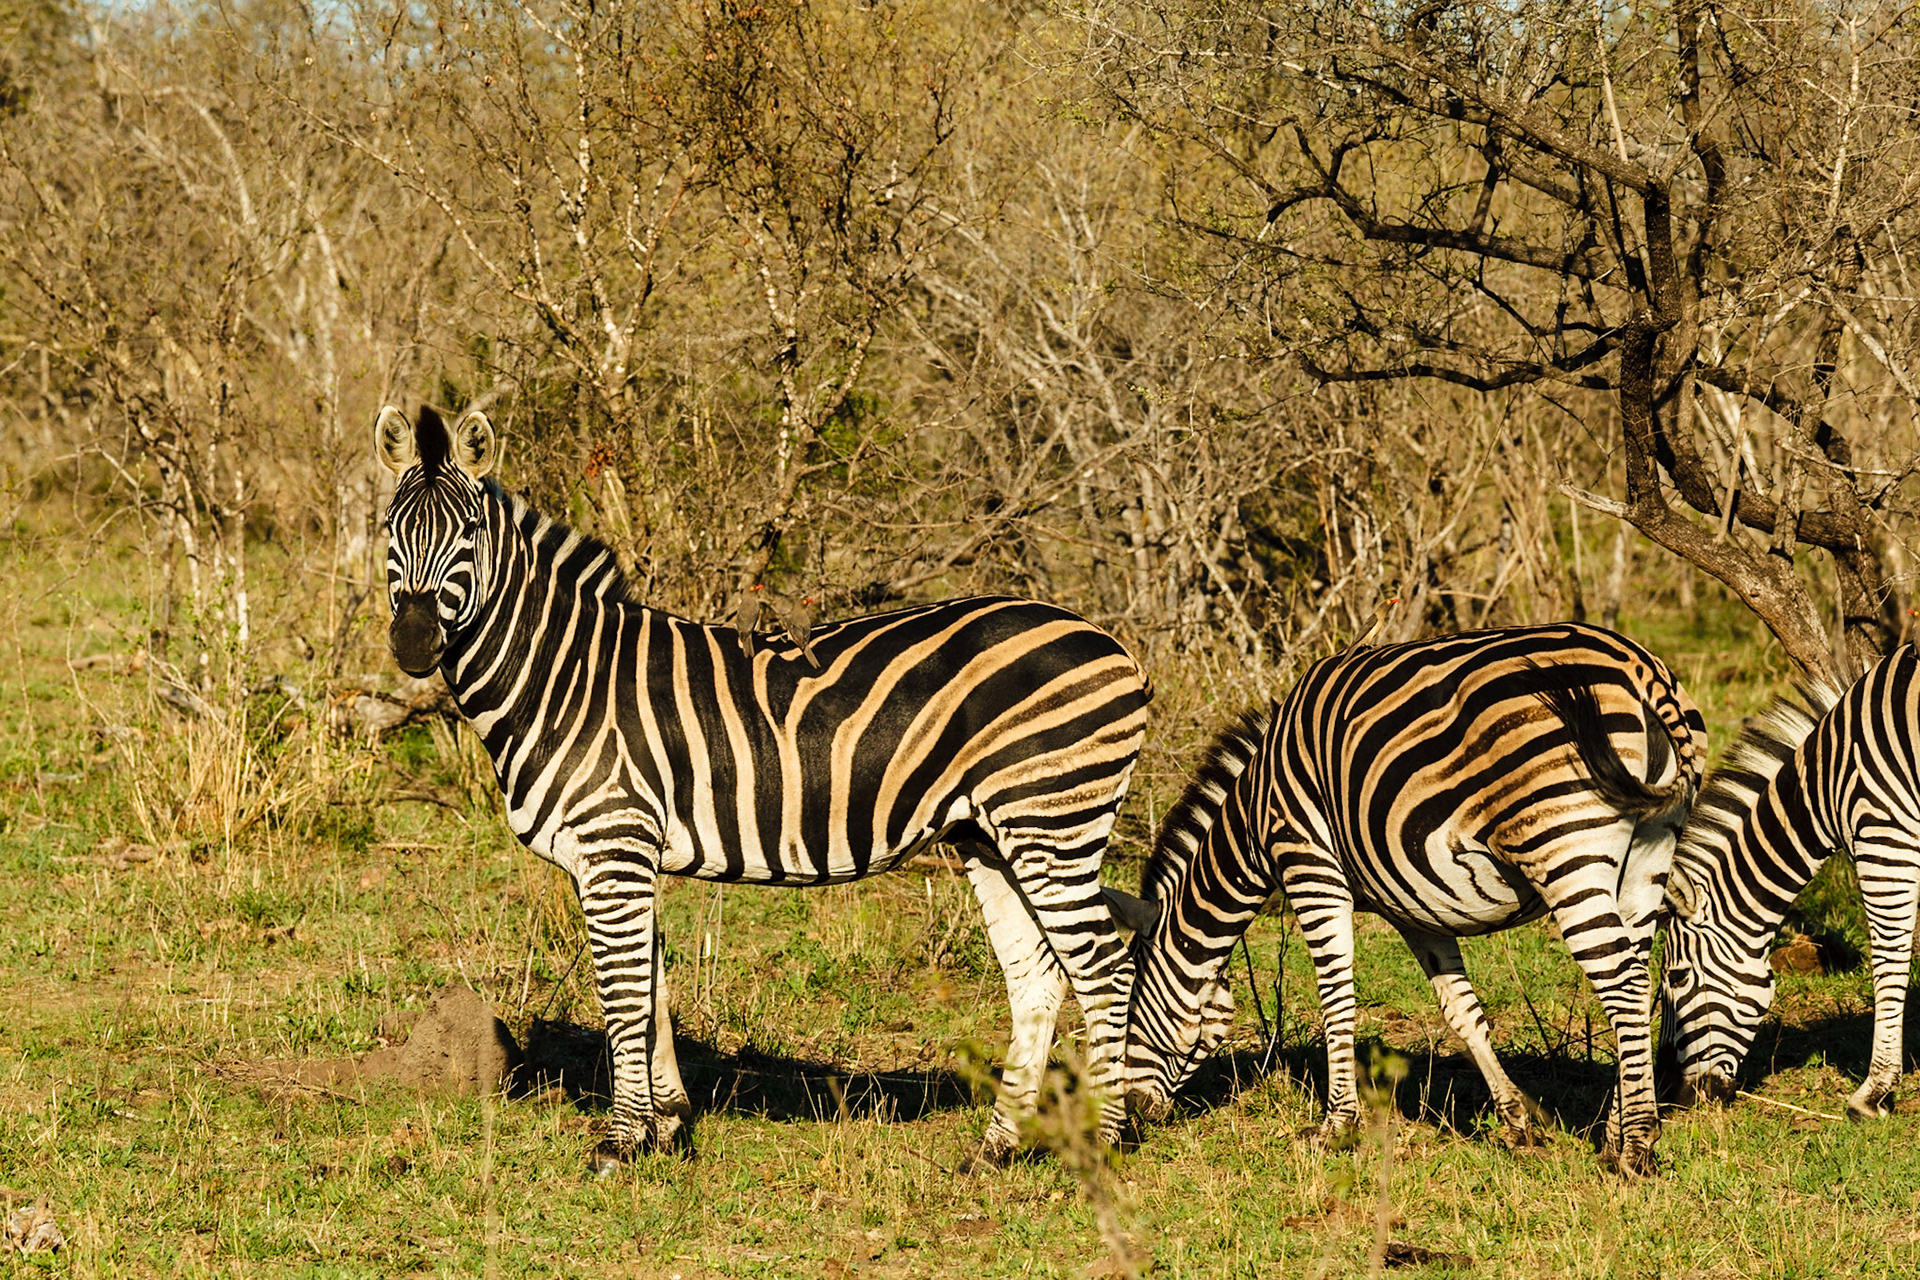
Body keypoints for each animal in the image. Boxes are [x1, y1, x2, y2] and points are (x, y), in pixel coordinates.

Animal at [374, 403, 1152, 1170]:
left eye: (468, 533)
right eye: (388, 530)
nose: (413, 643)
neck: (562, 676)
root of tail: (1115, 645)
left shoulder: (614, 844)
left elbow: (623, 995)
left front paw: (621, 1143)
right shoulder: (621, 855)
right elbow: (652, 987)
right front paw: (668, 1125)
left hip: (1051, 821)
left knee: (1105, 970)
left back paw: (1108, 1138)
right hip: (991, 833)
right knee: (1038, 975)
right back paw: (997, 1146)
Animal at [1101, 624, 1707, 1174]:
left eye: (1126, 1005)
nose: (1135, 1112)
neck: (1254, 817)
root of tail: (1642, 669)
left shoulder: (1309, 864)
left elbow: (1335, 996)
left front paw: (1336, 1127)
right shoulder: (1415, 905)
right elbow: (1462, 1012)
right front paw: (1517, 1124)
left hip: (1561, 847)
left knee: (1622, 980)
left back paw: (1636, 1147)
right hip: (1647, 856)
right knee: (1636, 975)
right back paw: (1617, 1132)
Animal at [1658, 649, 1918, 1119]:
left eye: (1678, 976)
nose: (1670, 1092)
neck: (1823, 787)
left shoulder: (1886, 833)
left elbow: (1889, 959)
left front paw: (1873, 1093)